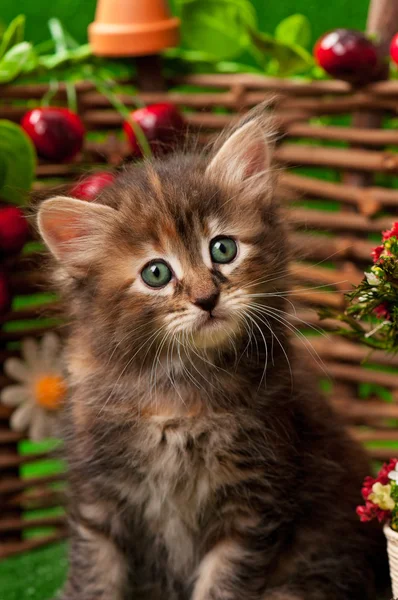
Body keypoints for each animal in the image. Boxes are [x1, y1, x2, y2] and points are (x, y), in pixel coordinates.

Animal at [36, 108, 386, 600]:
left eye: (223, 248)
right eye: (156, 273)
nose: (207, 298)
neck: (180, 388)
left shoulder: (252, 502)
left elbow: (222, 583)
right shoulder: (98, 498)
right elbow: (93, 577)